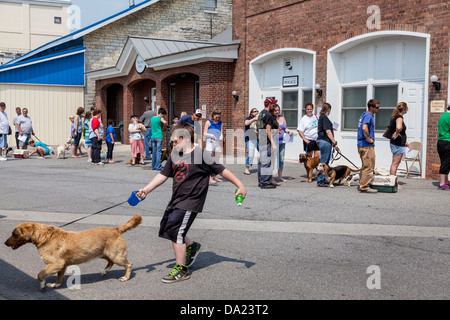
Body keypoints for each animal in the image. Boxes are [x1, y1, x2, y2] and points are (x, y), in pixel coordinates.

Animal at [4, 215, 142, 290]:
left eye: (14, 234)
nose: (5, 243)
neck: (44, 237)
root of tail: (116, 229)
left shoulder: (56, 264)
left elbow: (40, 274)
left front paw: (43, 285)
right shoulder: (62, 266)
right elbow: (59, 277)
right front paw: (56, 285)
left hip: (116, 255)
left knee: (129, 264)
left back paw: (125, 277)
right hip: (104, 253)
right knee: (110, 262)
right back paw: (104, 271)